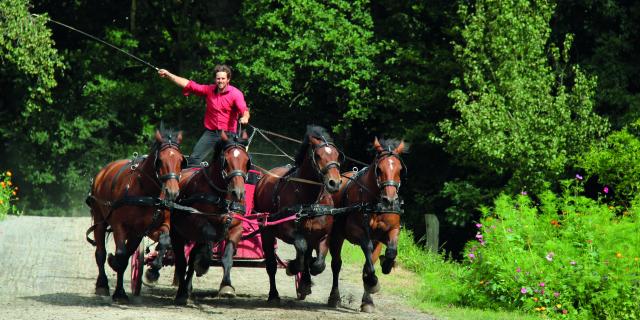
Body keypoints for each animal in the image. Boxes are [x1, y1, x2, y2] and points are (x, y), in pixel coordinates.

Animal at [86, 128, 185, 302]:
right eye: (160, 161)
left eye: (180, 160)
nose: (172, 192)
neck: (145, 192)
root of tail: (103, 171)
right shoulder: (119, 226)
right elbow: (120, 255)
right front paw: (119, 291)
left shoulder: (154, 227)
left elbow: (164, 241)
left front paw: (153, 271)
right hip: (100, 220)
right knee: (101, 254)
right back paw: (102, 284)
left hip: (135, 234)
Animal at [168, 131, 250, 304]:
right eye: (226, 160)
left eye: (247, 161)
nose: (238, 192)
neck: (222, 196)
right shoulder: (196, 221)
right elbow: (210, 234)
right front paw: (203, 264)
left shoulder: (236, 228)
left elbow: (227, 257)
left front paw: (227, 286)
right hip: (177, 233)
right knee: (181, 261)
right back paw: (181, 293)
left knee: (191, 258)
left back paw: (188, 288)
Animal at [254, 125, 344, 302]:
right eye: (318, 155)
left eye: (337, 155)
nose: (334, 183)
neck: (309, 201)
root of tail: (264, 178)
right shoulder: (287, 231)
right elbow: (301, 248)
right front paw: (292, 267)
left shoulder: (323, 235)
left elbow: (318, 264)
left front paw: (306, 277)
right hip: (267, 232)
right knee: (271, 265)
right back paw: (274, 294)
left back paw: (305, 282)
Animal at [328, 138, 408, 312]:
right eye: (379, 169)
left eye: (400, 169)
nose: (389, 200)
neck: (375, 204)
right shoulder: (356, 231)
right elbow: (367, 248)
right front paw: (372, 282)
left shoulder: (390, 231)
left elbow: (390, 251)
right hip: (336, 236)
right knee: (336, 264)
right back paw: (334, 297)